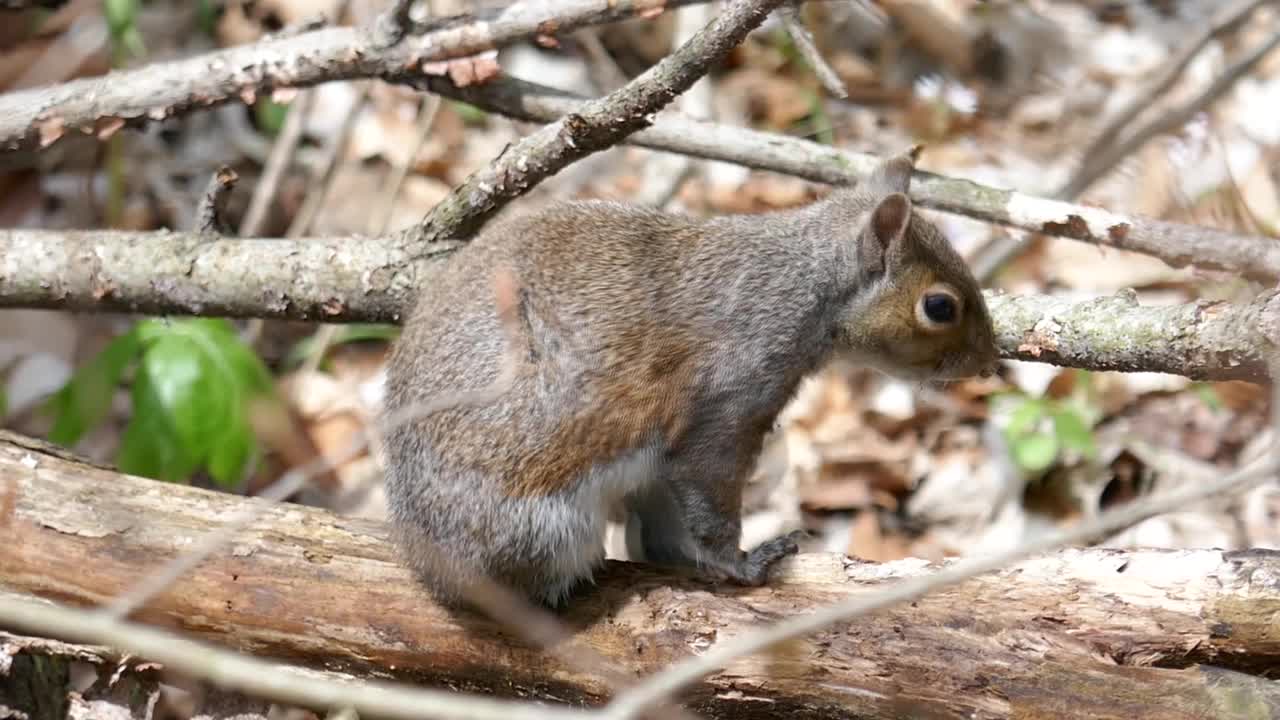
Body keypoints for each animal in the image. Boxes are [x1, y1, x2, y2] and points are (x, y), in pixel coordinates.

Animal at [378, 149, 998, 604]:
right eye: (939, 307)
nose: (991, 363)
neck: (798, 285)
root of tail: (428, 565)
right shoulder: (731, 399)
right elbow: (707, 484)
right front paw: (743, 563)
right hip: (544, 522)